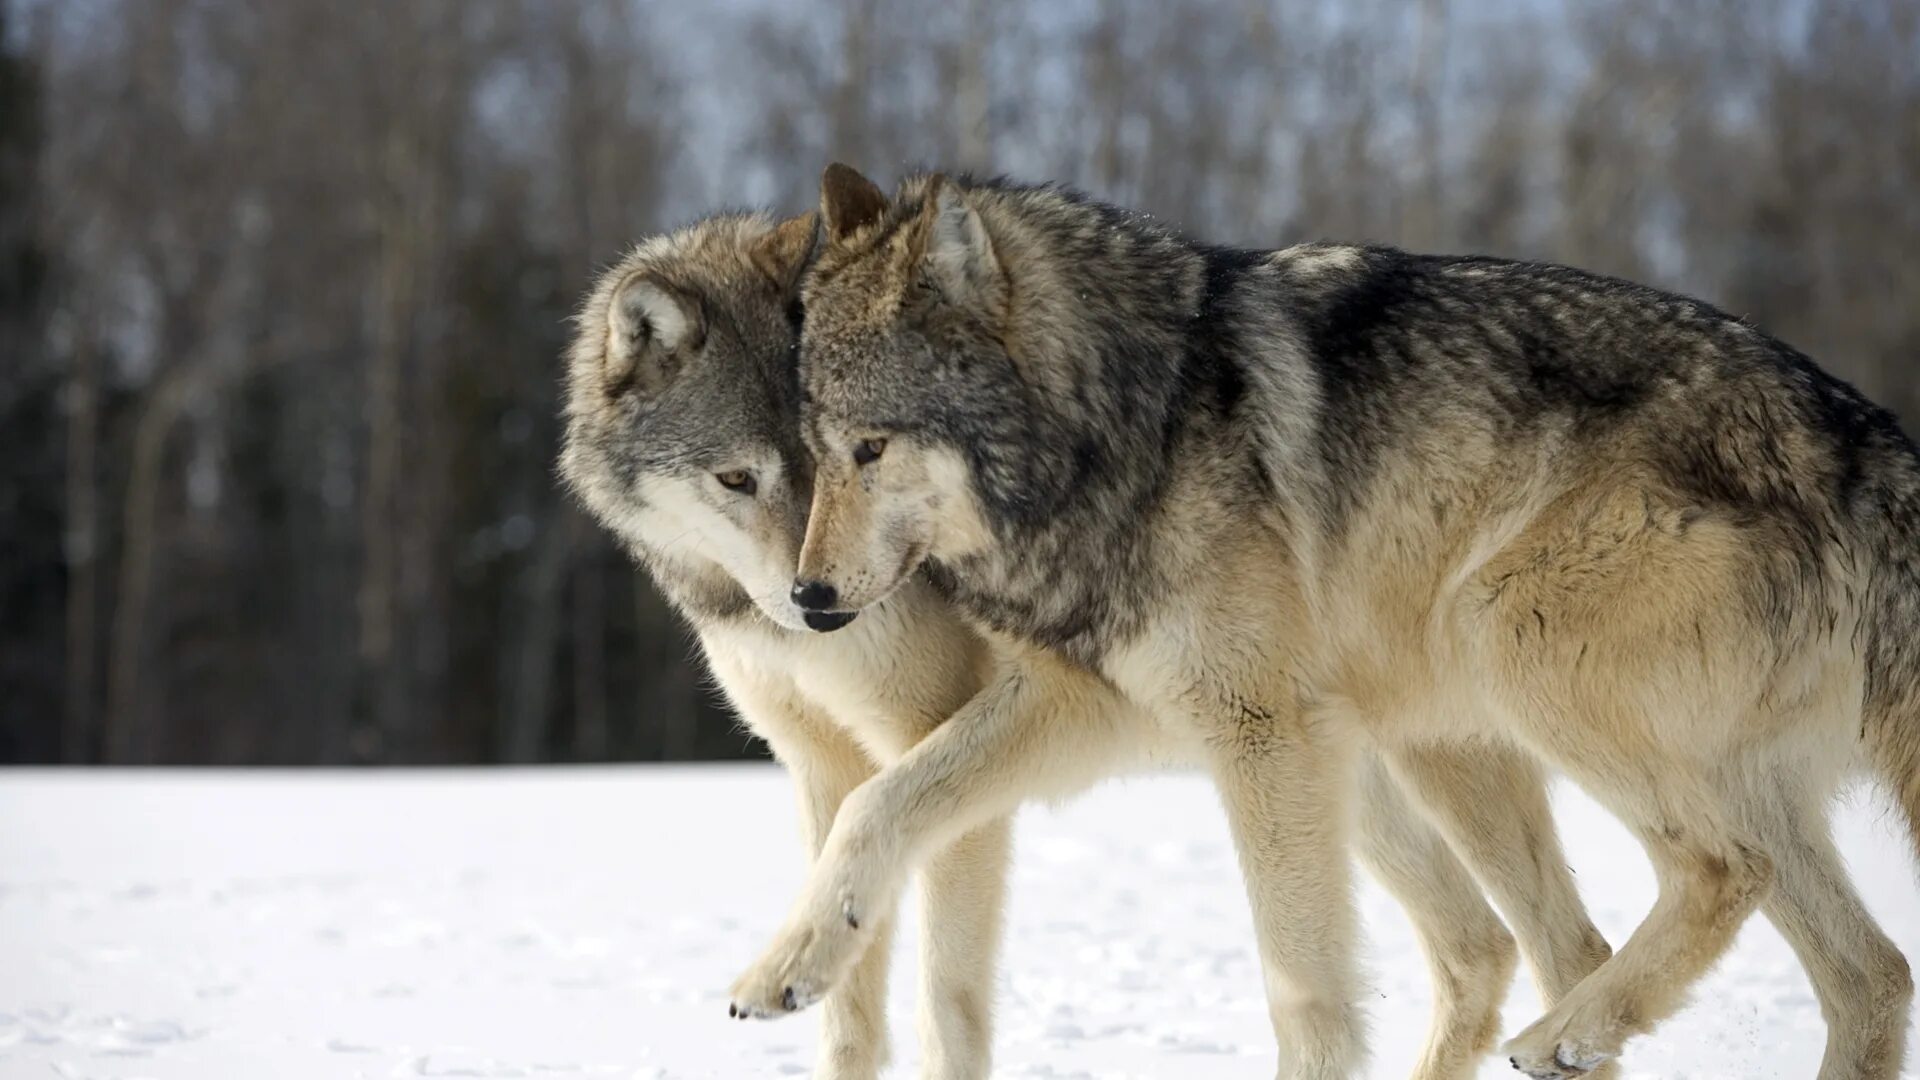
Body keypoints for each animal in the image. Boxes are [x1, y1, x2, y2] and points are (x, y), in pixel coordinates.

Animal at [564, 212, 1620, 1076]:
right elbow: (850, 1016)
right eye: (738, 478)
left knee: (1538, 947)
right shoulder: (821, 765)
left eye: (853, 458)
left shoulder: (965, 747)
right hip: (1343, 773)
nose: (818, 604)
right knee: (1487, 947)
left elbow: (942, 996)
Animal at [729, 161, 1920, 1076]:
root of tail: (1860, 431)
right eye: (812, 450)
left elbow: (1301, 987)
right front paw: (786, 966)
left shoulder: (1262, 733)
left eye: (871, 448)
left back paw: (1568, 1033)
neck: (1131, 425)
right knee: (1858, 972)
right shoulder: (1091, 703)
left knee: (1718, 876)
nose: (809, 601)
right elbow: (877, 801)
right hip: (1464, 744)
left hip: (1504, 638)